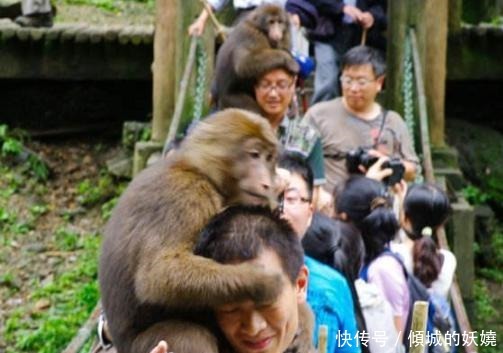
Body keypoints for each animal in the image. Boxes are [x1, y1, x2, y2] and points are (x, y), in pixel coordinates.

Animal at [100, 109, 286, 352]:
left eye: (269, 157)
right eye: (254, 154)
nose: (267, 183)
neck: (200, 170)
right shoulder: (186, 194)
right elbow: (159, 273)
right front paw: (262, 281)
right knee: (188, 335)